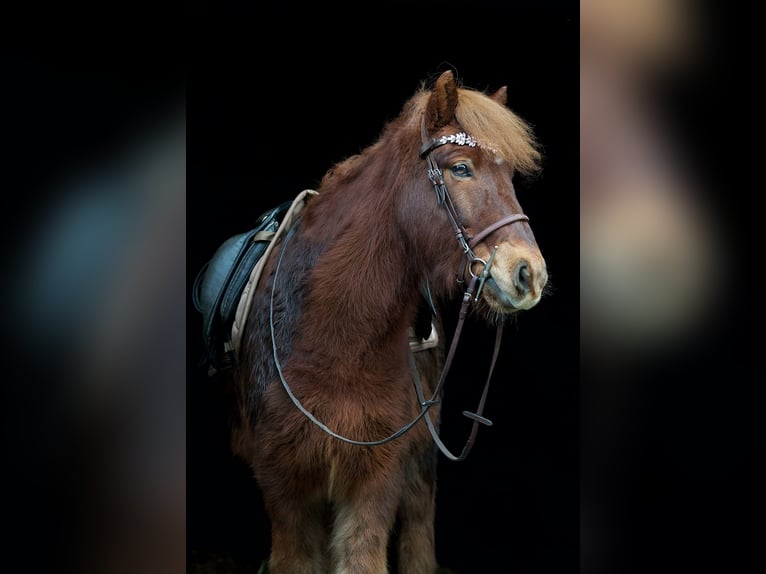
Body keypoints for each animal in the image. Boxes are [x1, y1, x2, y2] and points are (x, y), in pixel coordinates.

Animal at [227, 70, 547, 573]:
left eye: (510, 177)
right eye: (461, 168)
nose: (530, 274)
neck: (337, 341)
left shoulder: (376, 481)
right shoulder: (284, 487)